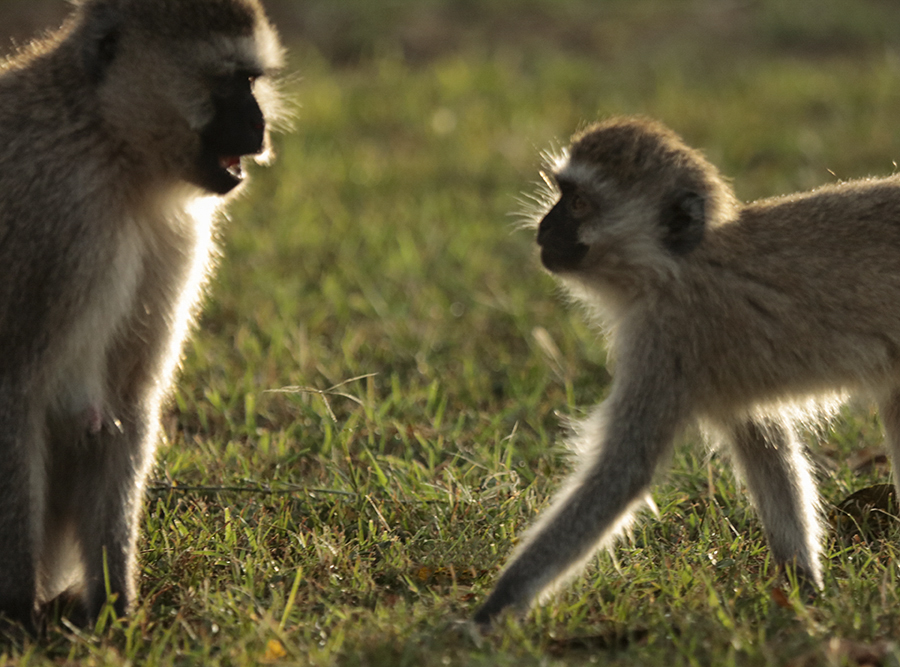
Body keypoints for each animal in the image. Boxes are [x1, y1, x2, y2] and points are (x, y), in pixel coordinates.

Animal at [0, 0, 284, 632]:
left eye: (252, 82)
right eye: (229, 82)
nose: (260, 128)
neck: (108, 142)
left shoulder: (174, 234)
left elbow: (127, 402)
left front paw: (115, 609)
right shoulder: (57, 215)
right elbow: (15, 393)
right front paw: (17, 617)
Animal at [474, 115, 900, 628]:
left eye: (577, 203)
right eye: (563, 195)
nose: (543, 227)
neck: (675, 265)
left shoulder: (666, 340)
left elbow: (622, 473)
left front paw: (491, 612)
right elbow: (763, 442)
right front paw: (803, 587)